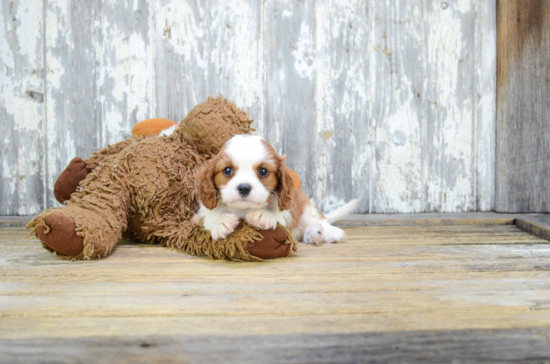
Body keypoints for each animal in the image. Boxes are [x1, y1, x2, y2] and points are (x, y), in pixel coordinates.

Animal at [192, 135, 360, 243]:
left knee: (319, 220)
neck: (244, 209)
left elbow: (277, 215)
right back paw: (313, 234)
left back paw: (326, 232)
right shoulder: (198, 217)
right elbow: (210, 216)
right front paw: (221, 221)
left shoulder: (287, 213)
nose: (244, 188)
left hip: (305, 208)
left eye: (263, 171)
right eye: (227, 170)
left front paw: (263, 215)